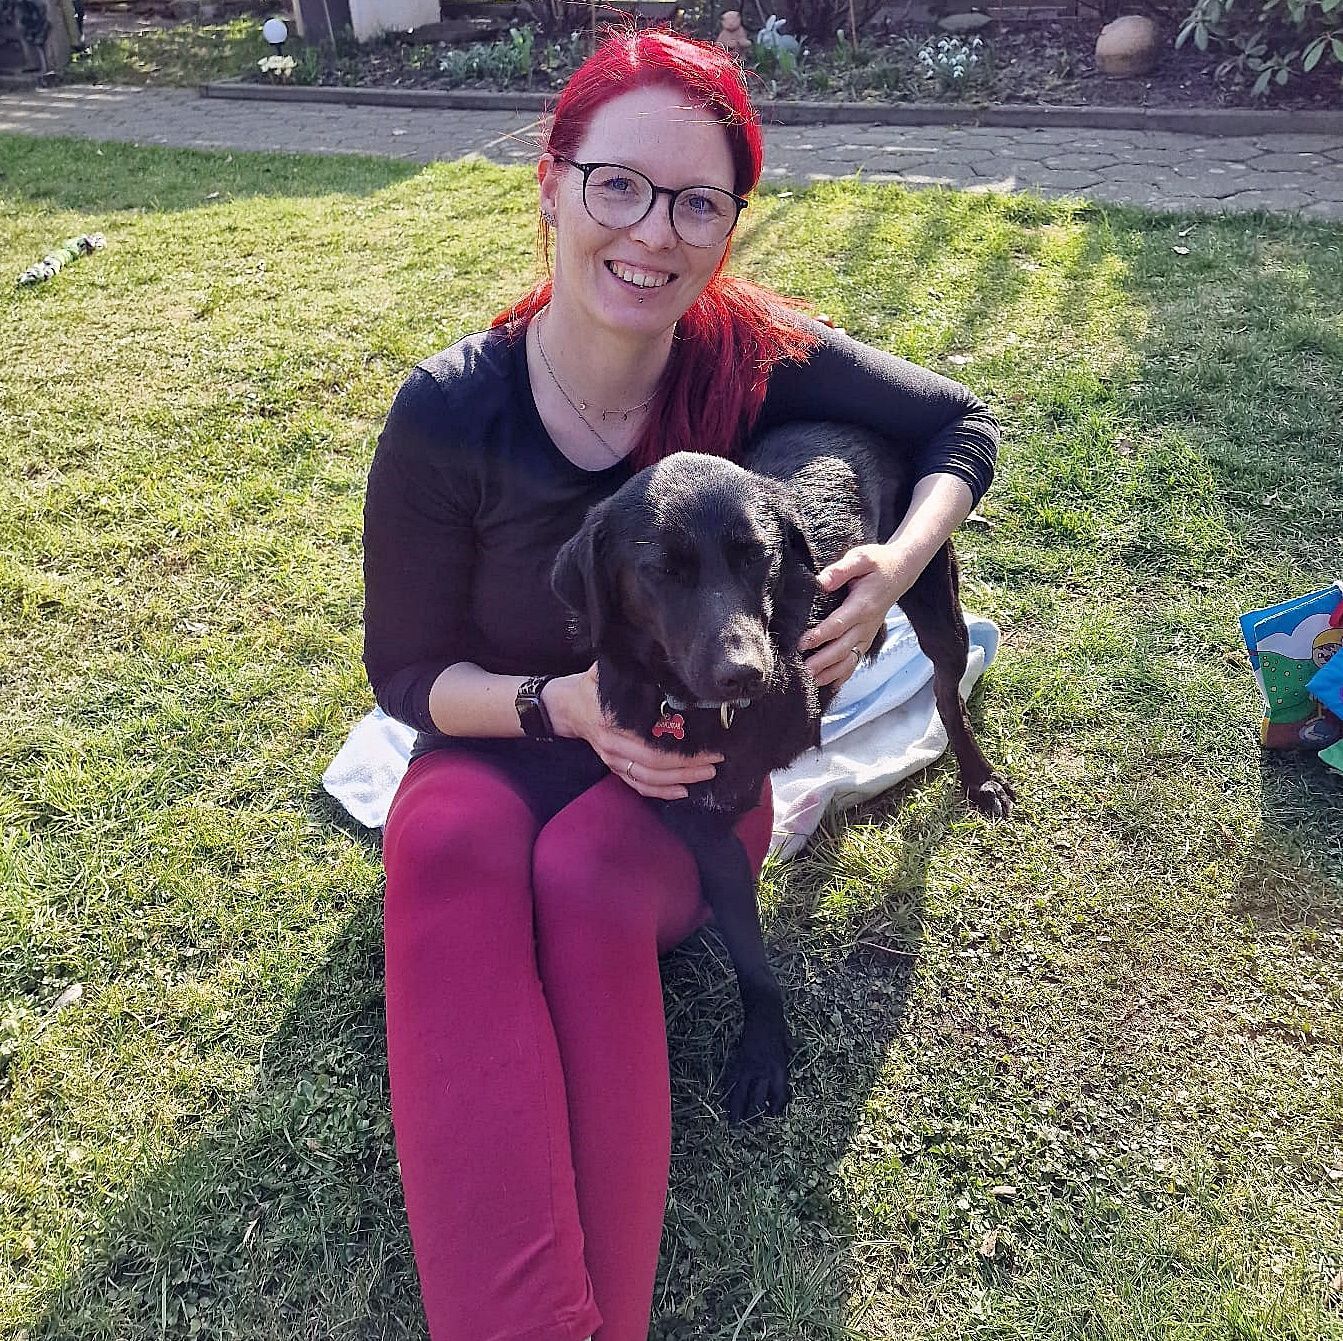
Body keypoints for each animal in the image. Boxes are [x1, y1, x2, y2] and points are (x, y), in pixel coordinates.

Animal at [552, 421, 1013, 1122]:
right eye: (662, 570)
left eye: (756, 557)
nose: (747, 673)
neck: (693, 709)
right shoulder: (704, 824)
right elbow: (748, 951)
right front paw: (764, 1045)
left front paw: (764, 1053)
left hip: (934, 599)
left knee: (946, 692)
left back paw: (977, 776)